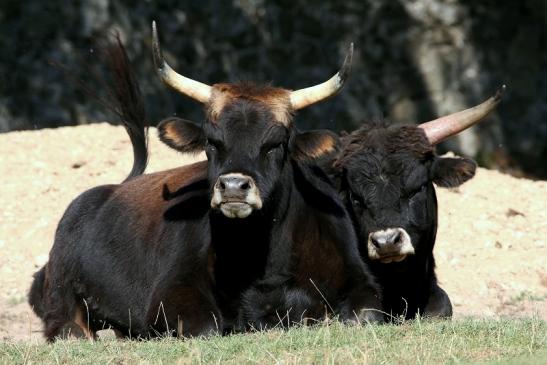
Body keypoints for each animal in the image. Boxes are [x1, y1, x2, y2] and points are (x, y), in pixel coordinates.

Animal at [28, 26, 382, 342]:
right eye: (212, 141)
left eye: (277, 142)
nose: (234, 186)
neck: (261, 259)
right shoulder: (171, 295)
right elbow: (206, 327)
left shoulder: (359, 280)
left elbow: (365, 314)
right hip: (59, 292)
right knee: (69, 327)